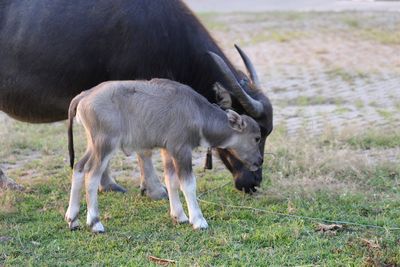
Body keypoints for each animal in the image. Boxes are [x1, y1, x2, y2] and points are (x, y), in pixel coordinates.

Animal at [0, 0, 272, 197]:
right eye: (256, 136)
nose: (254, 180)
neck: (165, 35)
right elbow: (143, 147)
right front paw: (155, 189)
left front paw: (108, 183)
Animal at [65, 78, 262, 233]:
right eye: (257, 138)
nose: (259, 161)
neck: (196, 111)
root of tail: (85, 95)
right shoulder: (181, 150)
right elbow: (188, 184)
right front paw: (198, 220)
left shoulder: (168, 151)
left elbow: (171, 180)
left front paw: (179, 216)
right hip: (105, 144)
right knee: (92, 175)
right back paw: (95, 223)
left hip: (93, 145)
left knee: (79, 167)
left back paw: (72, 219)